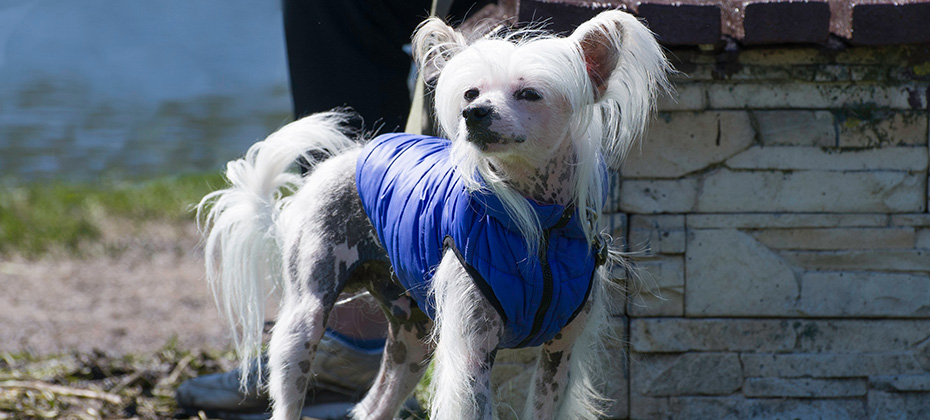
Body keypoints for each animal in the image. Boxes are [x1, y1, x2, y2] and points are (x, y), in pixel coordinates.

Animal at [199, 9, 672, 420]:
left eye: (529, 93)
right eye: (470, 93)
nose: (474, 113)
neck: (540, 223)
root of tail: (330, 168)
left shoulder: (560, 354)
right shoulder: (473, 352)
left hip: (412, 341)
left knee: (372, 409)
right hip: (305, 320)